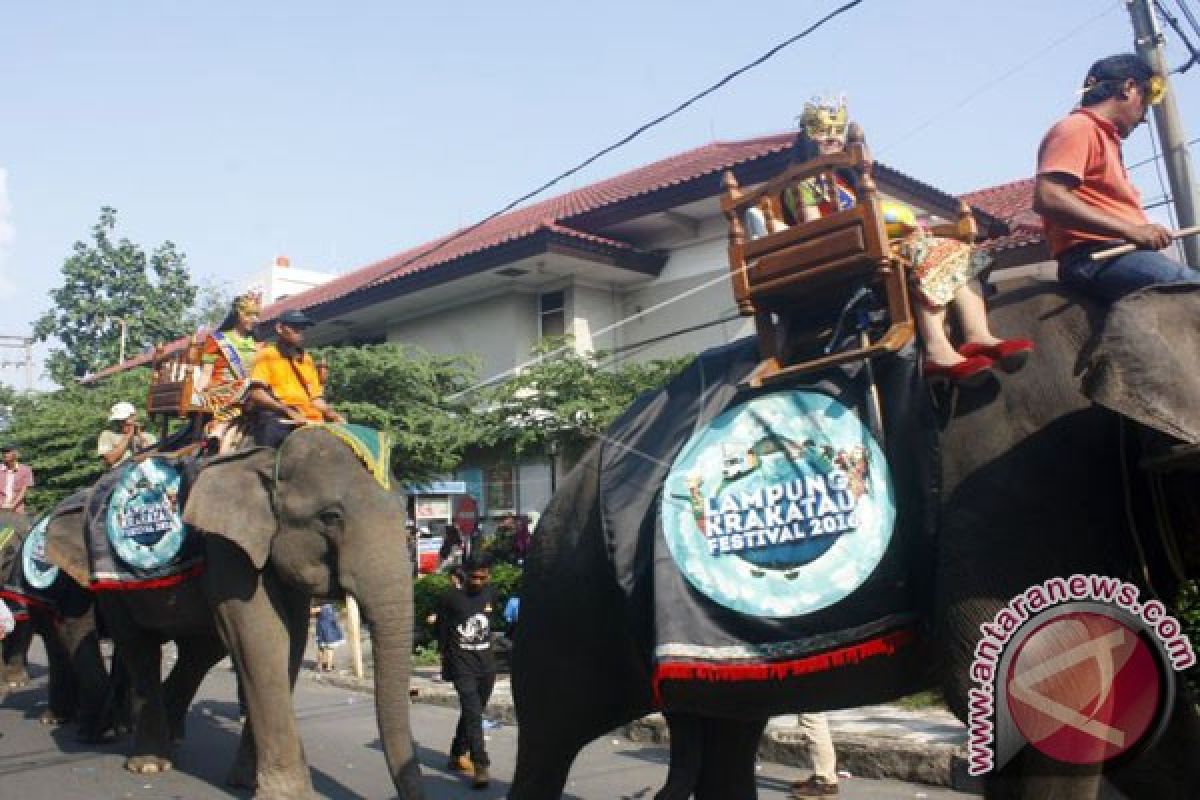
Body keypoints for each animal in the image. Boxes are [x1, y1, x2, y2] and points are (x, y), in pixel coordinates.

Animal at [43, 431, 427, 800]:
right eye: (331, 517)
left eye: (404, 515)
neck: (269, 459)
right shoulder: (227, 549)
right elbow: (262, 639)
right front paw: (287, 795)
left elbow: (289, 643)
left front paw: (246, 782)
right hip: (111, 586)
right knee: (139, 648)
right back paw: (150, 763)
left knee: (199, 652)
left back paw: (172, 739)